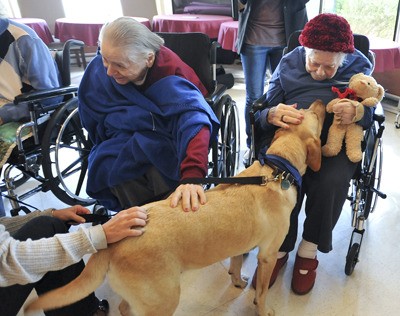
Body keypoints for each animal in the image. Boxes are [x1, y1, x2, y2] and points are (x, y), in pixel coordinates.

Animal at [26, 100, 324, 314]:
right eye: (313, 113)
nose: (321, 100)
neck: (277, 168)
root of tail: (110, 240)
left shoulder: (242, 245)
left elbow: (236, 262)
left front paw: (237, 280)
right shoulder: (268, 255)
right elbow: (261, 293)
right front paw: (262, 309)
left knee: (123, 307)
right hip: (164, 299)